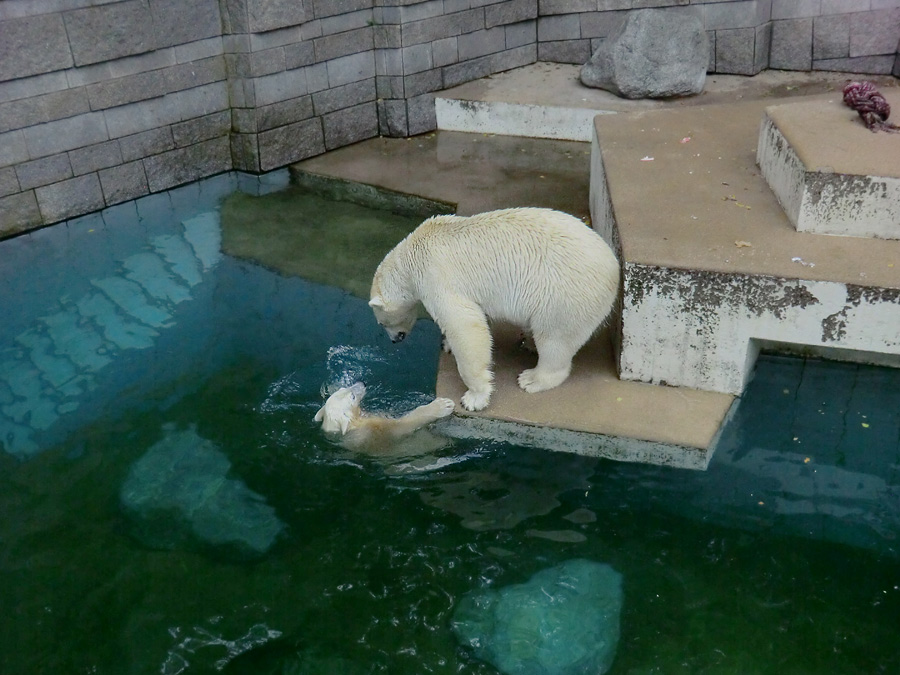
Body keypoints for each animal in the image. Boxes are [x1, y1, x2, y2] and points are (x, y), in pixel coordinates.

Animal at [316, 382, 458, 452]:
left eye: (343, 387)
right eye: (352, 397)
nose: (362, 383)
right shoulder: (379, 433)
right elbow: (402, 426)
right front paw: (443, 405)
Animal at [366, 207, 620, 412]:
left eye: (381, 322)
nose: (395, 340)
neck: (410, 258)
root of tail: (614, 268)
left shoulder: (435, 277)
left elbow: (465, 324)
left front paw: (474, 397)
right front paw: (447, 344)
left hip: (563, 296)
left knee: (555, 339)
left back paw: (532, 378)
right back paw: (528, 342)